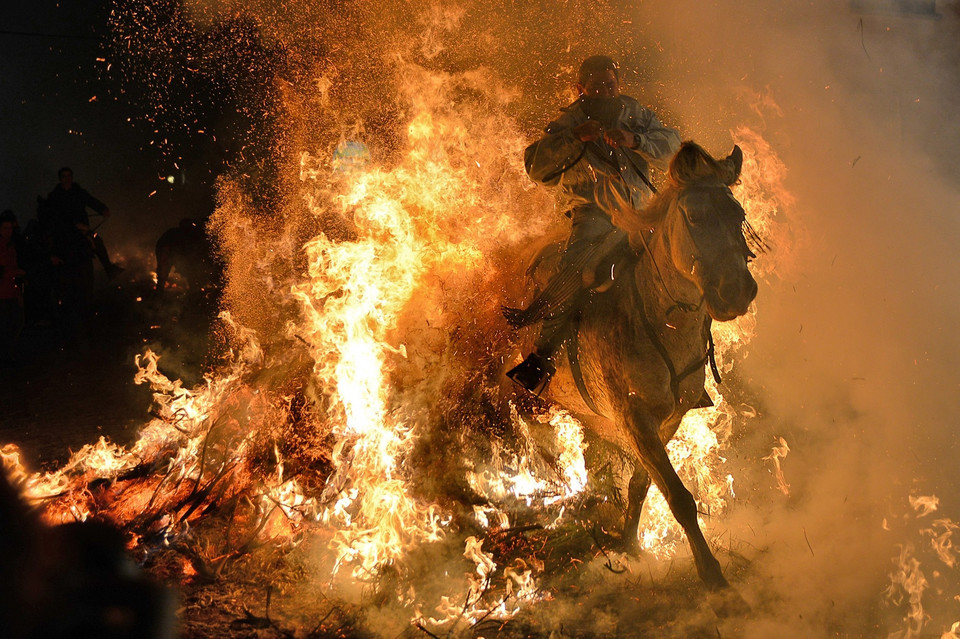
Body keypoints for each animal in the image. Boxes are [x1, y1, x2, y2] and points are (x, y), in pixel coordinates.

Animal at [510, 141, 756, 604]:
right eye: (693, 216)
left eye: (738, 215)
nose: (736, 290)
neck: (662, 320)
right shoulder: (634, 418)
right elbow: (678, 496)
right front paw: (710, 572)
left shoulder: (668, 419)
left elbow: (643, 485)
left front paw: (629, 544)